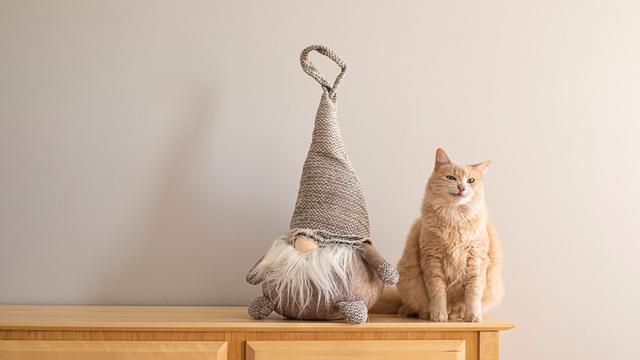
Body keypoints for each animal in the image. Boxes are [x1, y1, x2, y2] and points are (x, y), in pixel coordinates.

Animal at [398, 148, 502, 322]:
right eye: (451, 178)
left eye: (471, 180)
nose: (461, 187)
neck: (455, 217)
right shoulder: (432, 260)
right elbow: (437, 293)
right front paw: (439, 315)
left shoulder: (476, 260)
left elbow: (473, 293)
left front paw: (472, 316)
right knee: (417, 306)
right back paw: (428, 313)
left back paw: (457, 315)